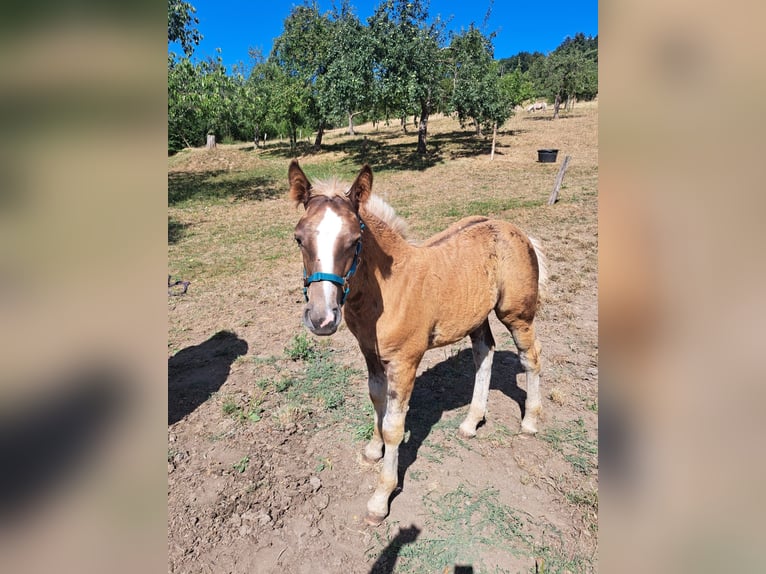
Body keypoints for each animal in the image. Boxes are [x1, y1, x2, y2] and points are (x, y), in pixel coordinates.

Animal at [288, 160, 547, 525]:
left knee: (530, 357)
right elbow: (377, 402)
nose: (321, 318)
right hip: (476, 316)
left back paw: (530, 422)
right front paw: (373, 449)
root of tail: (518, 231)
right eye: (299, 238)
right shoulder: (370, 354)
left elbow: (395, 426)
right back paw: (471, 422)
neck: (387, 289)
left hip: (517, 314)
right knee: (485, 353)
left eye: (355, 240)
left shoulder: (405, 361)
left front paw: (380, 498)